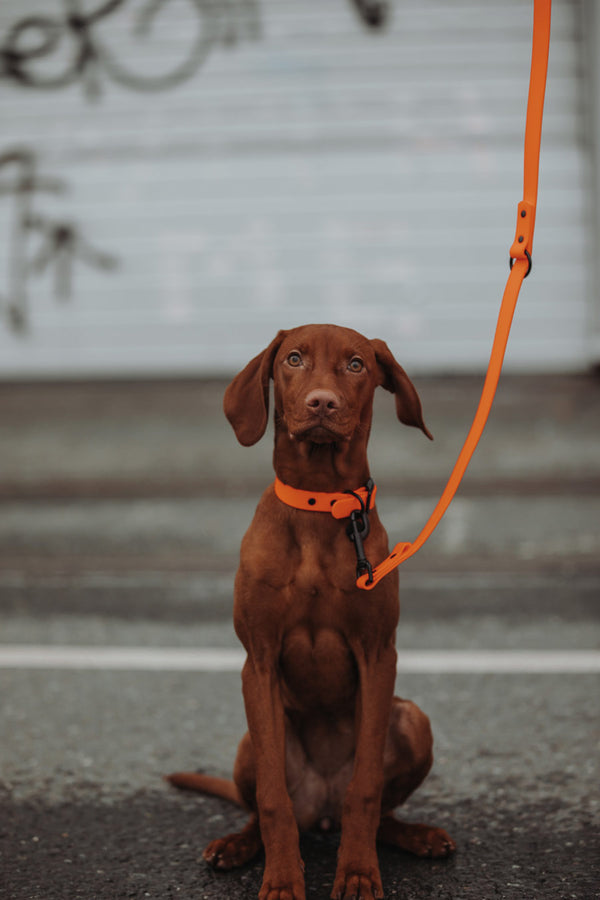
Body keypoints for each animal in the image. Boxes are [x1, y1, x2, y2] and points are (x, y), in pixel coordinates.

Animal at [166, 326, 452, 900]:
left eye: (357, 364)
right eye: (294, 359)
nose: (323, 403)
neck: (321, 505)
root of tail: (320, 813)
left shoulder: (378, 653)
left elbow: (365, 788)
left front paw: (358, 873)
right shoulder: (257, 659)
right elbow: (273, 799)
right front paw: (280, 880)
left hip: (412, 717)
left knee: (377, 813)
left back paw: (417, 835)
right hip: (250, 740)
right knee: (265, 810)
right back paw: (237, 844)